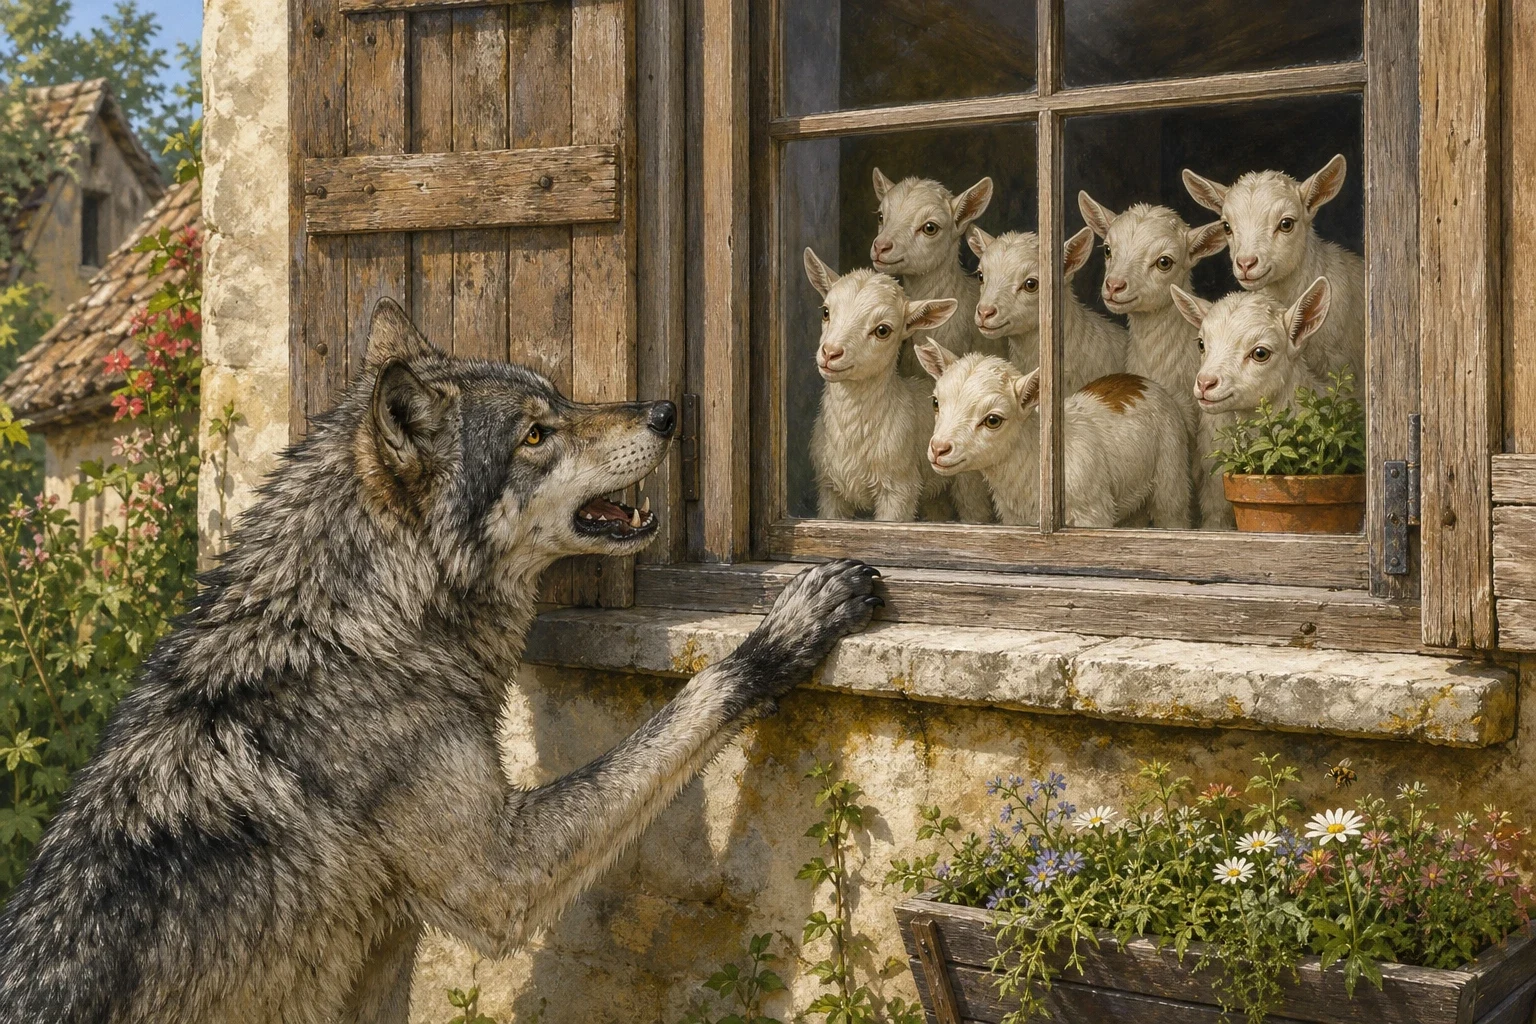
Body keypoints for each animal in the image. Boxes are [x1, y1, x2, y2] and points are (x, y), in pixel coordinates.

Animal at [0, 299, 882, 1023]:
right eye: (536, 435)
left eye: (562, 401)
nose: (667, 412)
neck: (354, 626)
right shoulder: (501, 875)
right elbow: (691, 701)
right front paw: (789, 627)